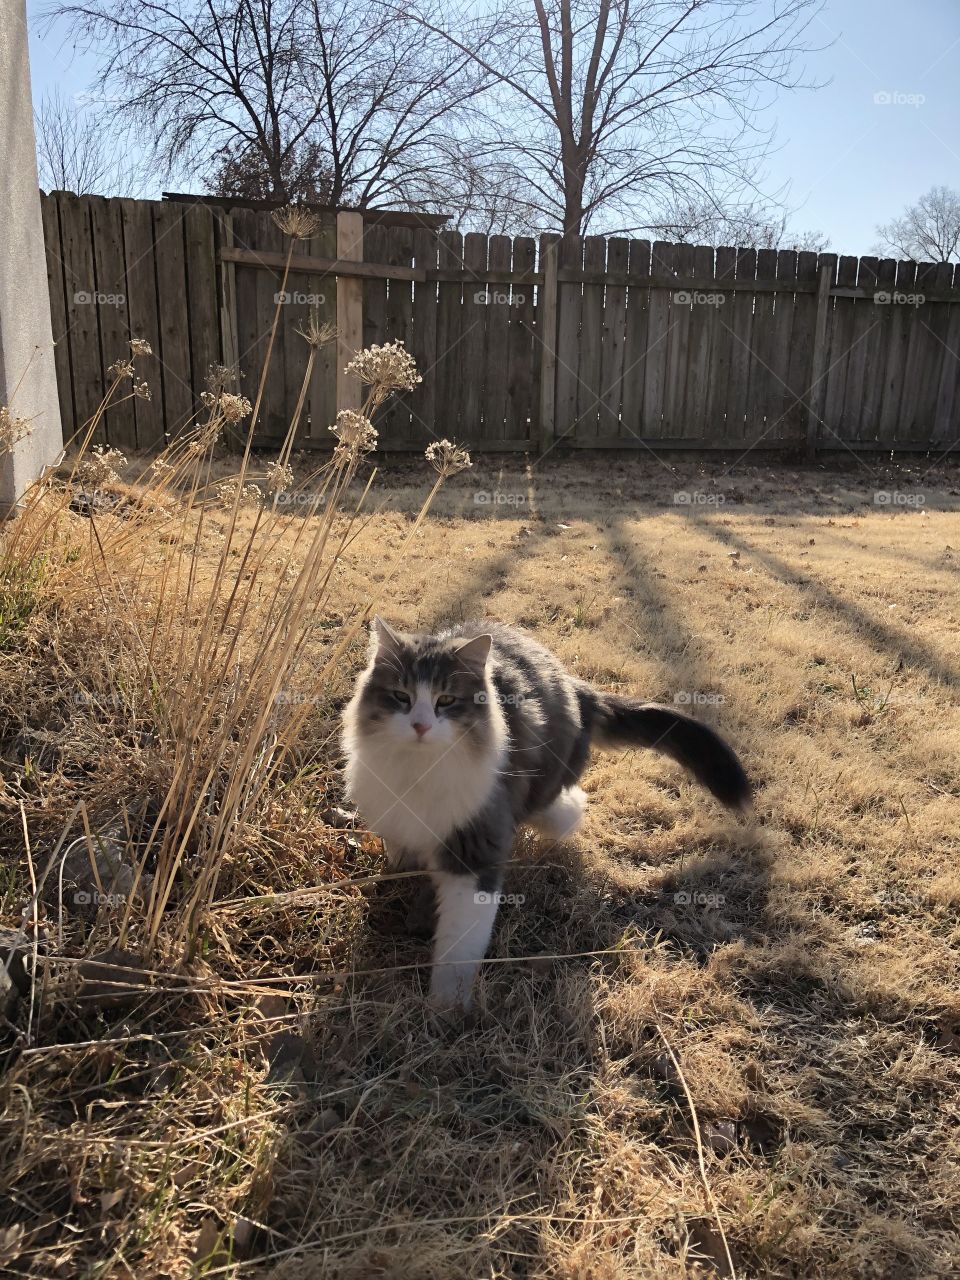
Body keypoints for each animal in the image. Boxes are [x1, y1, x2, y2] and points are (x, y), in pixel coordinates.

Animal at [343, 614, 757, 1013]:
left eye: (446, 700)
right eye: (401, 696)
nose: (420, 725)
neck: (419, 768)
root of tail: (576, 686)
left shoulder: (477, 848)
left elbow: (459, 947)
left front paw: (446, 1007)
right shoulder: (397, 817)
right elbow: (401, 853)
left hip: (548, 787)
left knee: (564, 809)